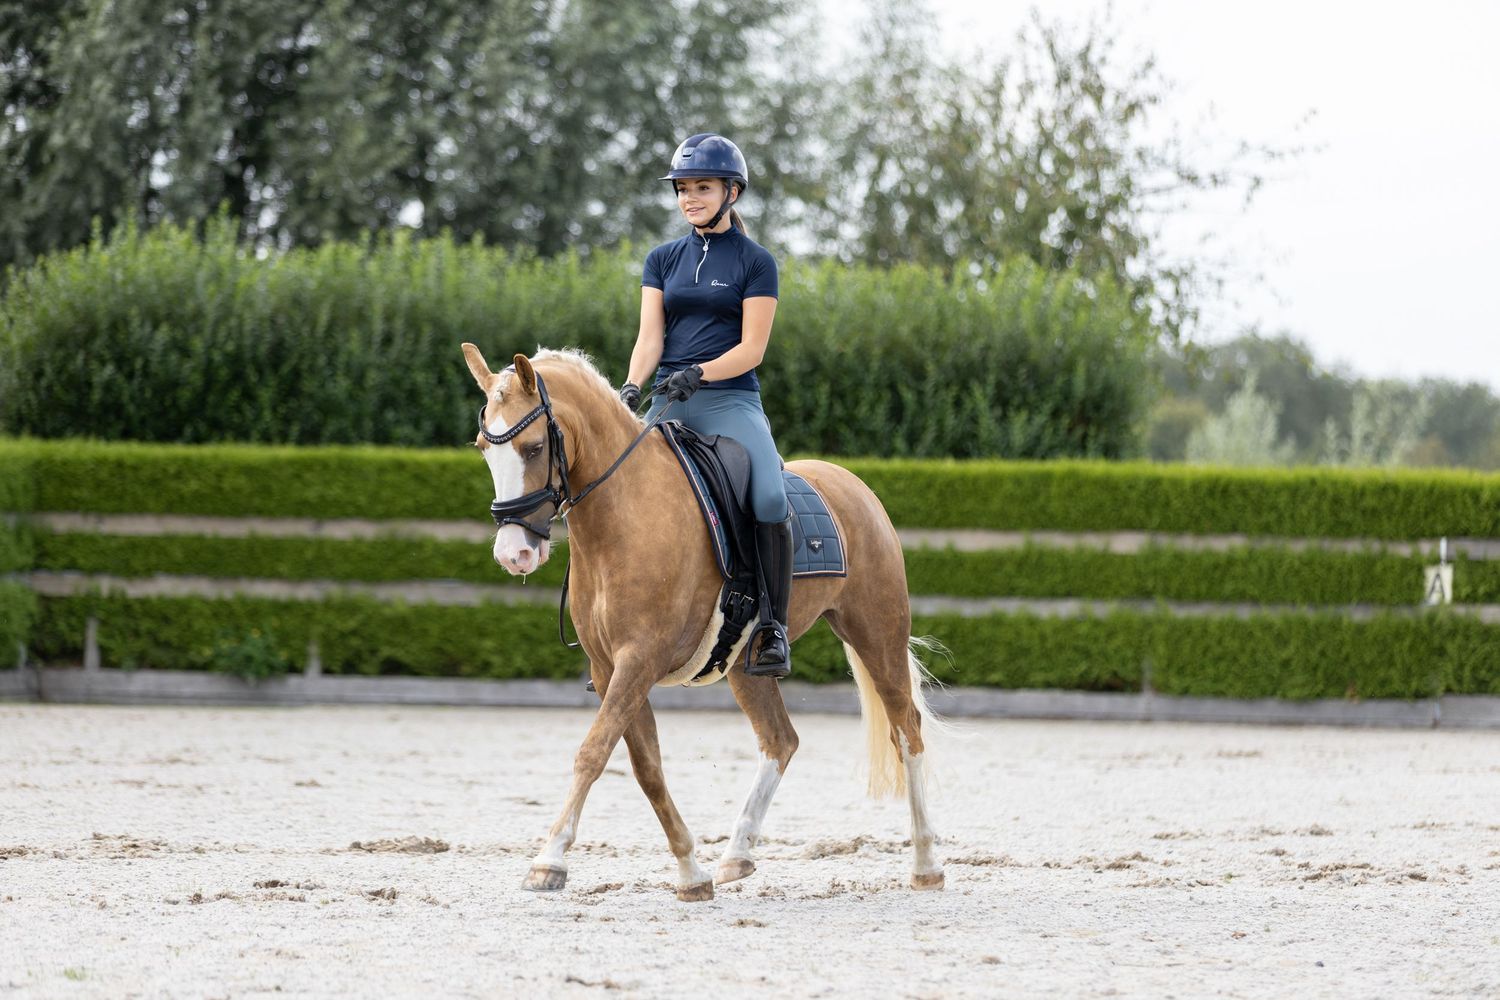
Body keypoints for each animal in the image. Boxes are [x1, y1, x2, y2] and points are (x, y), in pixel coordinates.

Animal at [462, 343, 946, 901]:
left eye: (535, 447)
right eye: (484, 447)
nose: (514, 554)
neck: (624, 512)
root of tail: (853, 484)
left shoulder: (639, 659)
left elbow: (593, 752)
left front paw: (550, 860)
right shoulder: (610, 669)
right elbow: (646, 767)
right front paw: (691, 872)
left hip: (876, 631)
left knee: (907, 731)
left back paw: (926, 864)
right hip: (746, 665)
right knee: (781, 740)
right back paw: (737, 854)